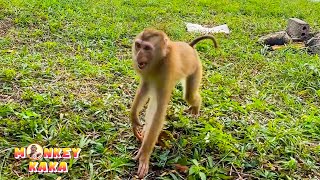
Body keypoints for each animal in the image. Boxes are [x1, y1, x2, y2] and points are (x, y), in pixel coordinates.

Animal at [130, 28, 218, 177]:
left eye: (147, 48)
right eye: (138, 45)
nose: (138, 56)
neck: (159, 61)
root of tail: (190, 46)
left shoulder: (167, 72)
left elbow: (159, 112)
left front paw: (144, 154)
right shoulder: (147, 74)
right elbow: (144, 89)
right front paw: (134, 119)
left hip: (196, 69)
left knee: (189, 96)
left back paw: (196, 107)